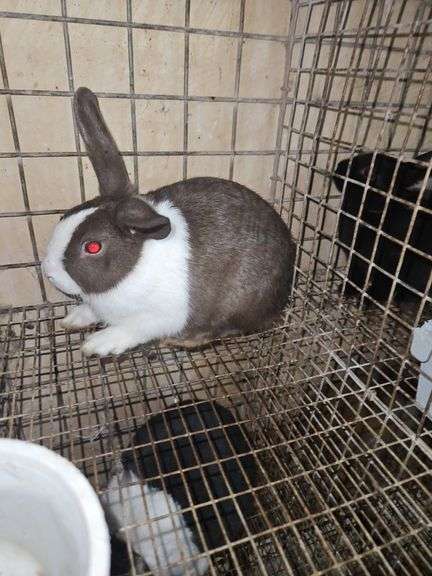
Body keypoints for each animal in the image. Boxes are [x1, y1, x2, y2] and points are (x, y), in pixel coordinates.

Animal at [41, 88, 295, 357]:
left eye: (92, 247)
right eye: (64, 216)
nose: (48, 272)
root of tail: (282, 299)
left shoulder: (160, 317)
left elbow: (133, 329)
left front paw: (97, 344)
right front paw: (73, 319)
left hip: (239, 300)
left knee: (223, 330)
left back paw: (179, 340)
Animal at [333, 150, 432, 304]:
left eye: (368, 171)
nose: (339, 167)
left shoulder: (394, 261)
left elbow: (384, 284)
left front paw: (367, 300)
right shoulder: (355, 255)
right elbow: (355, 273)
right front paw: (346, 289)